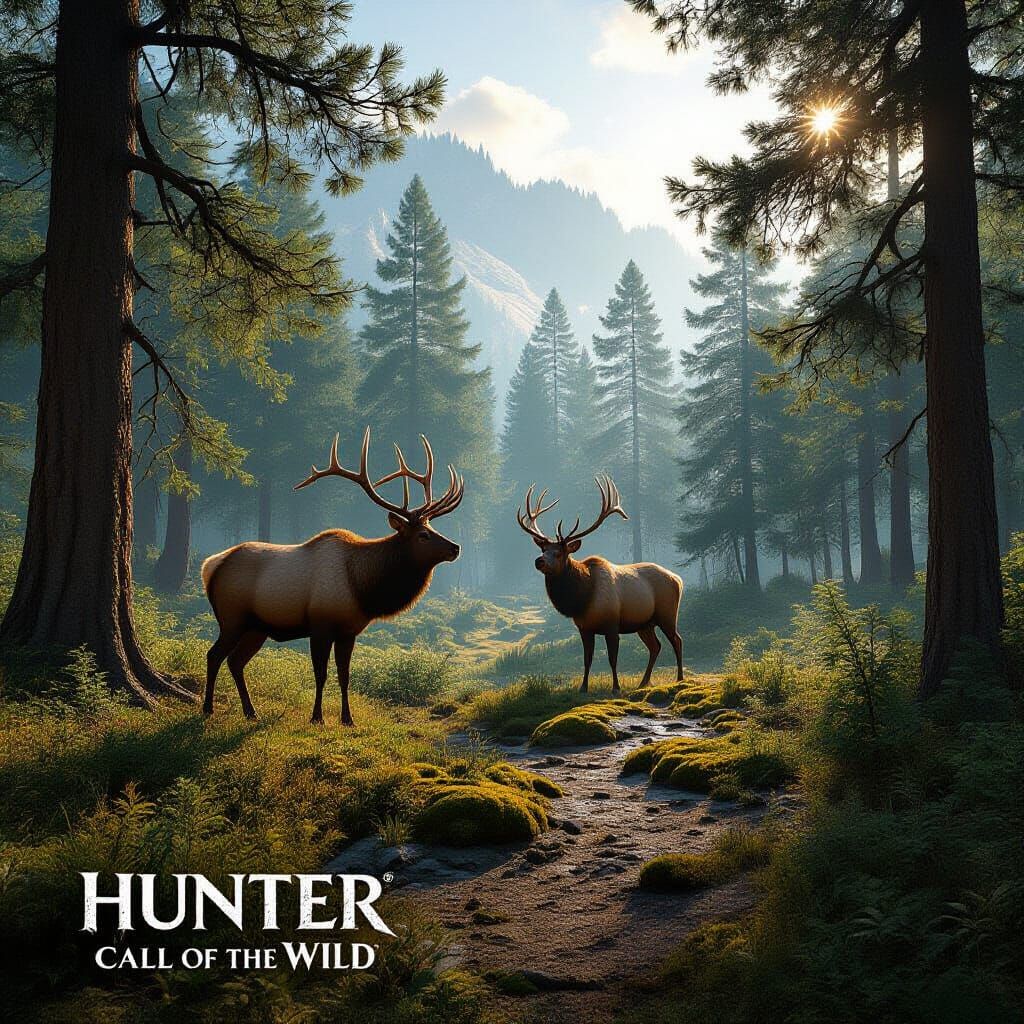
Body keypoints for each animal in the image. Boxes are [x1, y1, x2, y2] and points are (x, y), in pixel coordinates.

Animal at [200, 427, 464, 726]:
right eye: (423, 535)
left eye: (433, 528)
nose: (455, 548)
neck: (362, 587)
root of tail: (211, 566)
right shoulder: (320, 625)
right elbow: (321, 674)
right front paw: (317, 717)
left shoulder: (349, 631)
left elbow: (345, 676)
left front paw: (347, 719)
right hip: (232, 618)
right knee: (214, 655)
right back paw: (208, 708)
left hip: (257, 628)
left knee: (236, 661)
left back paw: (250, 711)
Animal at [516, 476, 684, 693]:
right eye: (543, 549)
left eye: (559, 553)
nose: (539, 561)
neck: (582, 599)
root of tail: (678, 578)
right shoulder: (584, 628)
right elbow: (587, 659)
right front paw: (583, 687)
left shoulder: (612, 625)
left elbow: (612, 659)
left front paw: (616, 687)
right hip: (644, 623)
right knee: (656, 646)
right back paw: (643, 682)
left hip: (667, 614)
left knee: (677, 640)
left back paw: (680, 678)